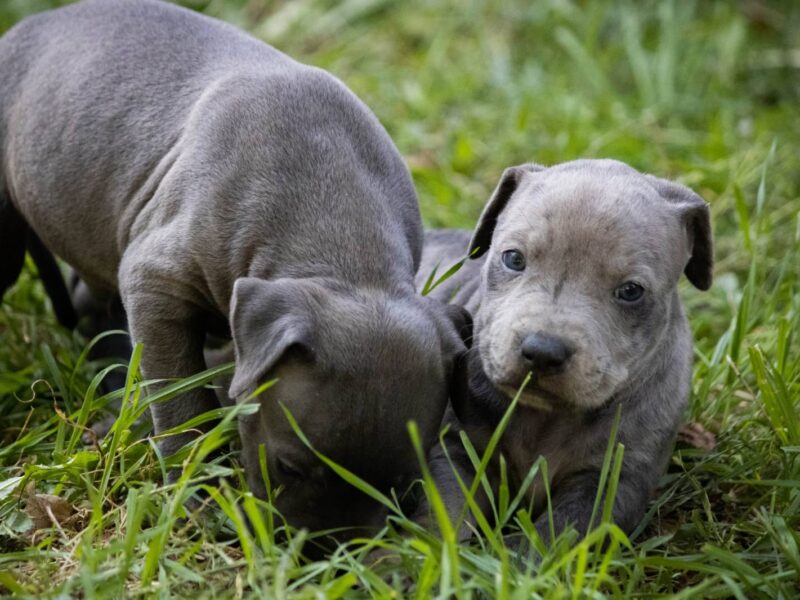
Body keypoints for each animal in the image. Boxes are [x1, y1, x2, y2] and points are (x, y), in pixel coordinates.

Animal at [0, 0, 466, 536]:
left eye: (404, 484)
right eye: (288, 466)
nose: (323, 549)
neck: (342, 249)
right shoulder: (156, 282)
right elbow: (180, 399)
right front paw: (195, 491)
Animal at [418, 159, 712, 544]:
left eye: (631, 291)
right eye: (513, 259)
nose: (542, 351)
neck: (546, 416)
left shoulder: (611, 482)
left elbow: (556, 537)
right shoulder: (454, 448)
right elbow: (442, 513)